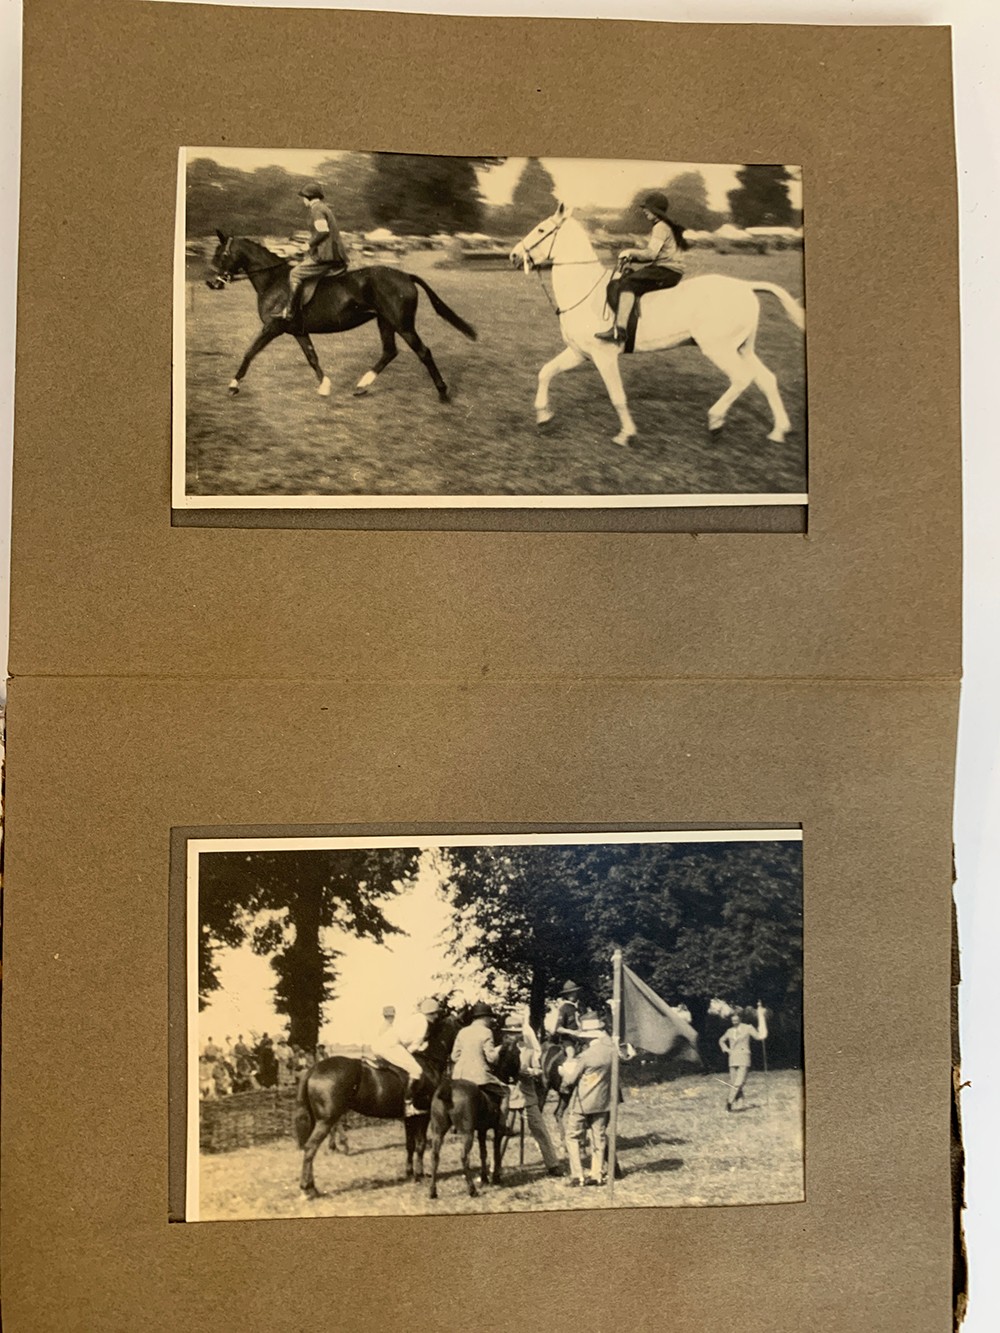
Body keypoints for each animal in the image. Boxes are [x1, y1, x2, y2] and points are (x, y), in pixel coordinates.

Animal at [205, 233, 480, 399]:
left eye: (221, 255)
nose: (211, 283)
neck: (274, 281)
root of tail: (405, 276)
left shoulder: (273, 327)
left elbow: (249, 352)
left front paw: (233, 385)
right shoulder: (299, 331)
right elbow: (312, 358)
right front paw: (325, 385)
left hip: (402, 324)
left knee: (423, 352)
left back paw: (442, 392)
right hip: (385, 321)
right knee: (389, 352)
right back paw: (362, 386)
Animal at [292, 1007, 461, 1199]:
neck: (429, 1061)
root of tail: (314, 1068)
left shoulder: (409, 1118)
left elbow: (409, 1145)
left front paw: (409, 1173)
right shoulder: (423, 1116)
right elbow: (420, 1144)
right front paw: (419, 1175)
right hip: (326, 1120)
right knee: (310, 1148)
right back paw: (309, 1188)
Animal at [429, 1034, 525, 1205]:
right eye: (518, 1053)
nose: (518, 1075)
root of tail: (449, 1088)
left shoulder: (481, 1130)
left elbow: (483, 1153)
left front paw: (485, 1178)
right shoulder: (496, 1131)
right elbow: (495, 1153)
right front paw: (495, 1178)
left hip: (438, 1131)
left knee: (435, 1156)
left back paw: (433, 1192)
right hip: (467, 1133)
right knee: (464, 1157)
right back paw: (472, 1189)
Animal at [512, 199, 810, 445]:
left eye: (541, 230)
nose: (514, 256)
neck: (585, 290)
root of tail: (746, 287)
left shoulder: (603, 356)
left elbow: (617, 396)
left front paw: (626, 434)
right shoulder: (578, 353)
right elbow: (545, 372)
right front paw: (544, 417)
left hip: (719, 349)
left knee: (742, 378)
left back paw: (716, 421)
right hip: (743, 348)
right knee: (766, 379)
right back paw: (778, 431)